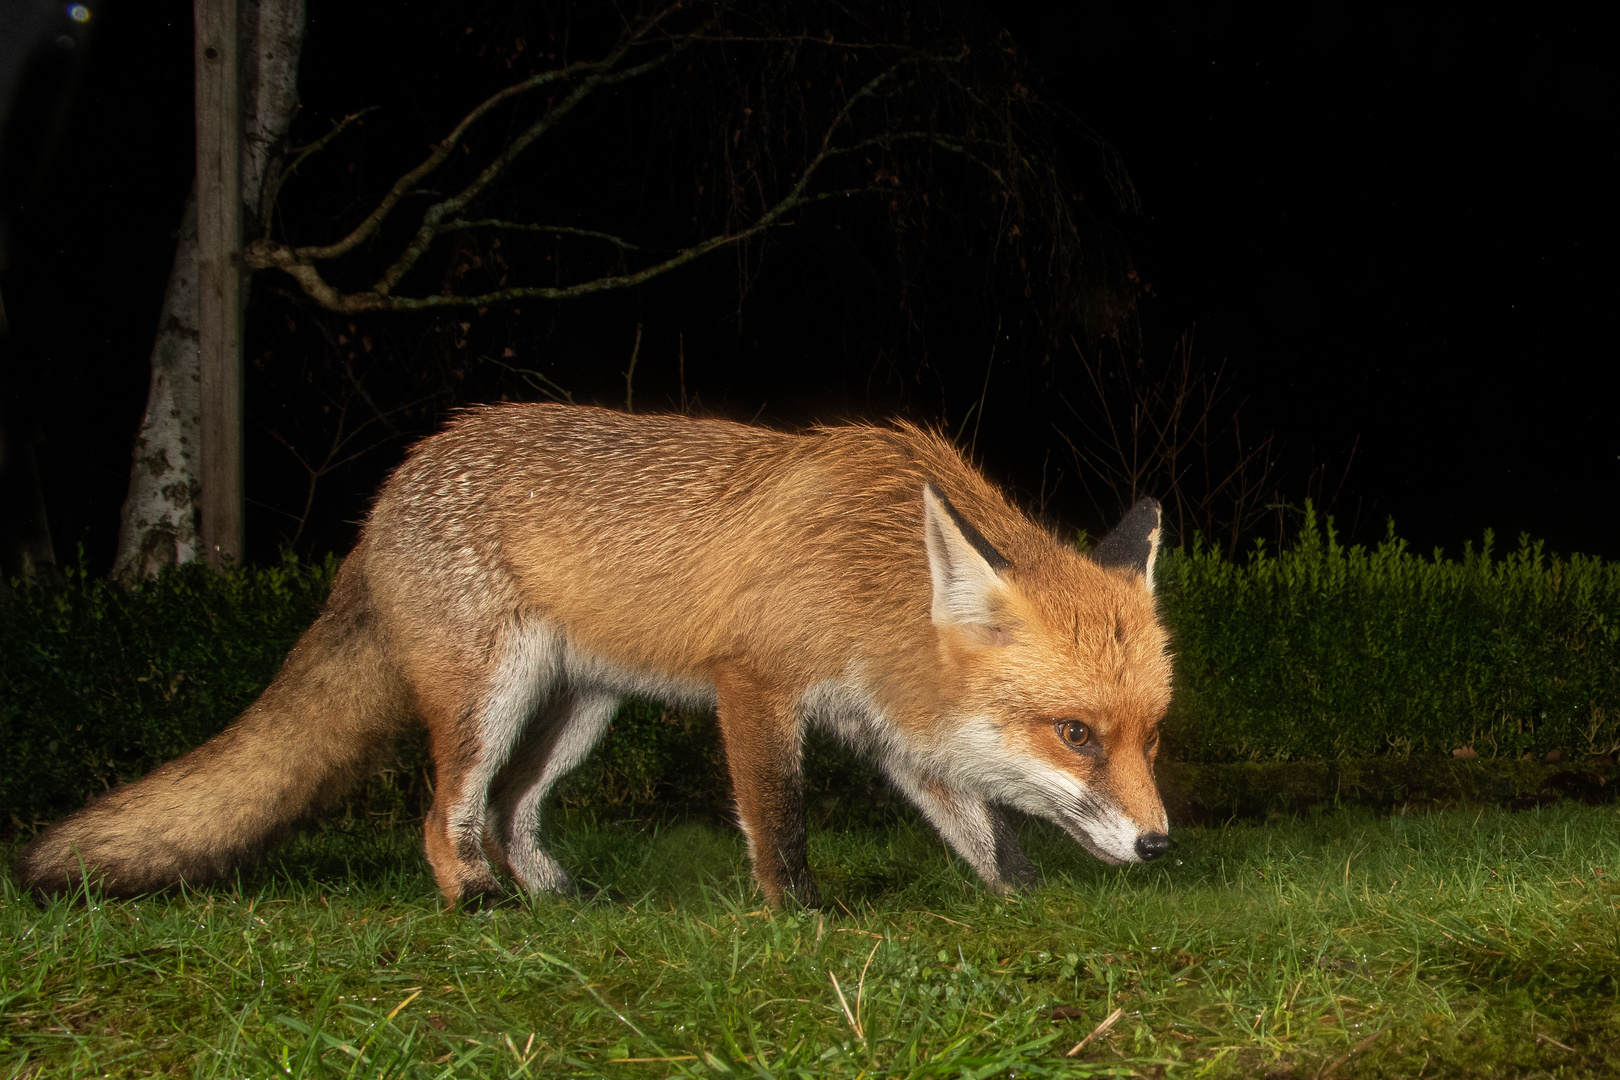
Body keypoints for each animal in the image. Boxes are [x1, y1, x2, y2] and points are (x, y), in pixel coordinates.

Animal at [22, 404, 1166, 913]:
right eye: (1075, 733)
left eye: (1149, 737)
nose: (1162, 844)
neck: (872, 570)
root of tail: (393, 484)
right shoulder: (754, 683)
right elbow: (780, 820)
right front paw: (798, 916)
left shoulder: (891, 720)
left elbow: (979, 828)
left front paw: (1023, 897)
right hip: (489, 698)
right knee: (445, 812)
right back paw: (472, 899)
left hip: (576, 714)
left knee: (511, 812)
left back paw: (559, 900)